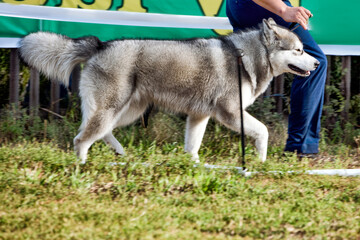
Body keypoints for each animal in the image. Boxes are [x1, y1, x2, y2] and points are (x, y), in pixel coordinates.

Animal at [19, 17, 318, 163]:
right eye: (298, 50)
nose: (316, 63)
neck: (245, 57)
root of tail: (100, 44)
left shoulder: (199, 116)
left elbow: (192, 147)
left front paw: (193, 166)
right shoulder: (231, 114)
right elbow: (264, 132)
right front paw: (261, 163)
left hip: (125, 112)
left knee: (97, 133)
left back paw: (120, 154)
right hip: (113, 109)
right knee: (81, 139)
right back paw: (82, 167)